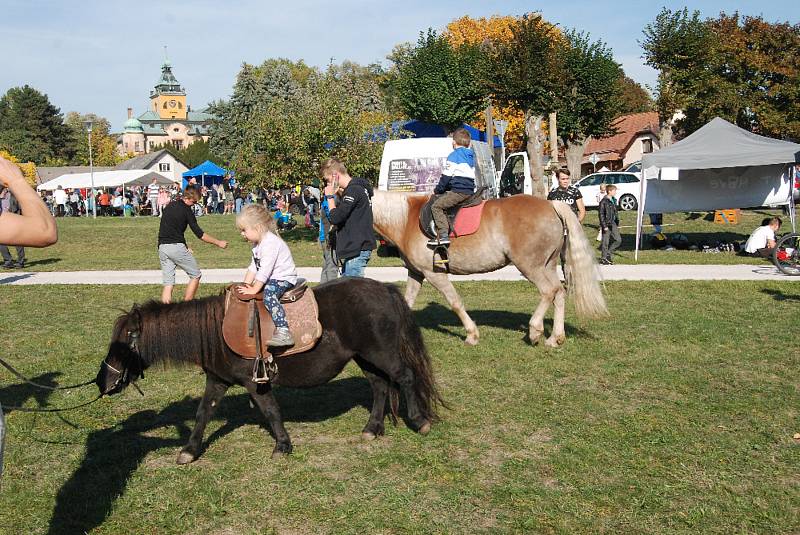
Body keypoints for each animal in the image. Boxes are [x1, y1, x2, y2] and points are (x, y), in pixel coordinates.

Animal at [96, 278, 444, 462]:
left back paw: (419, 421)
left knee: (404, 378)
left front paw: (282, 445)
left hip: (380, 353)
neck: (215, 331)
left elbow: (271, 411)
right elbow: (203, 413)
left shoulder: (255, 383)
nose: (103, 381)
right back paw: (373, 428)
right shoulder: (218, 381)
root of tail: (385, 288)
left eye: (126, 339)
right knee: (380, 386)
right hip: (366, 357)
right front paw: (190, 450)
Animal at [372, 193, 608, 348]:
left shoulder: (434, 274)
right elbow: (406, 303)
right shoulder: (416, 273)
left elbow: (455, 302)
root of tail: (551, 204)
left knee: (548, 292)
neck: (406, 220)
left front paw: (471, 334)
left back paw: (535, 330)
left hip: (530, 266)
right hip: (547, 265)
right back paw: (555, 338)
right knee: (559, 292)